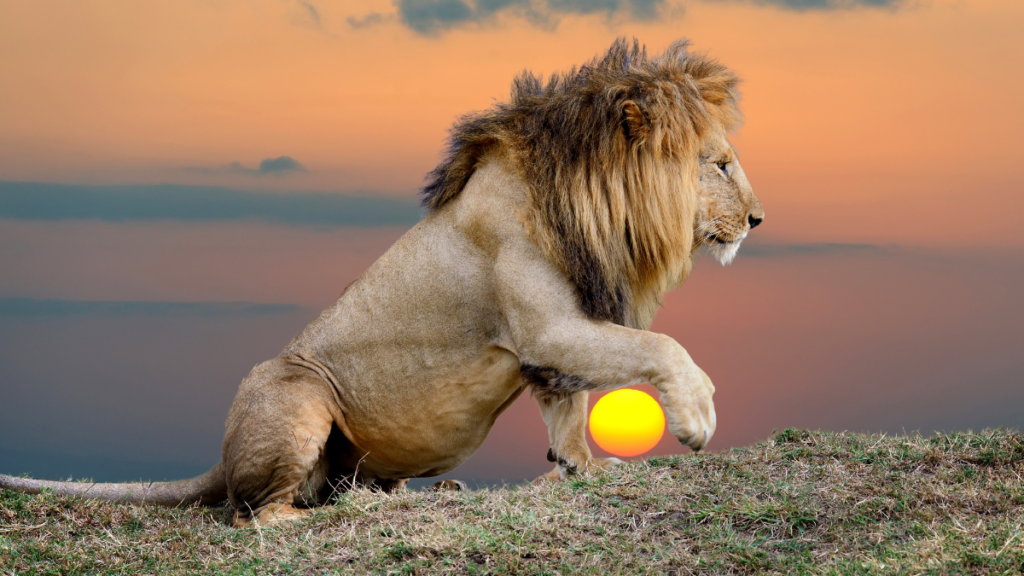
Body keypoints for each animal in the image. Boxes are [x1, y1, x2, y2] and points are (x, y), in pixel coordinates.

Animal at [0, 38, 763, 526]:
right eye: (720, 163)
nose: (759, 219)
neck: (592, 206)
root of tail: (219, 458)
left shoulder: (554, 340)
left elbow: (568, 410)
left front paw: (583, 469)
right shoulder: (548, 327)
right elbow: (661, 348)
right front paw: (696, 418)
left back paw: (421, 494)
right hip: (297, 392)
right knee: (260, 514)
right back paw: (341, 510)